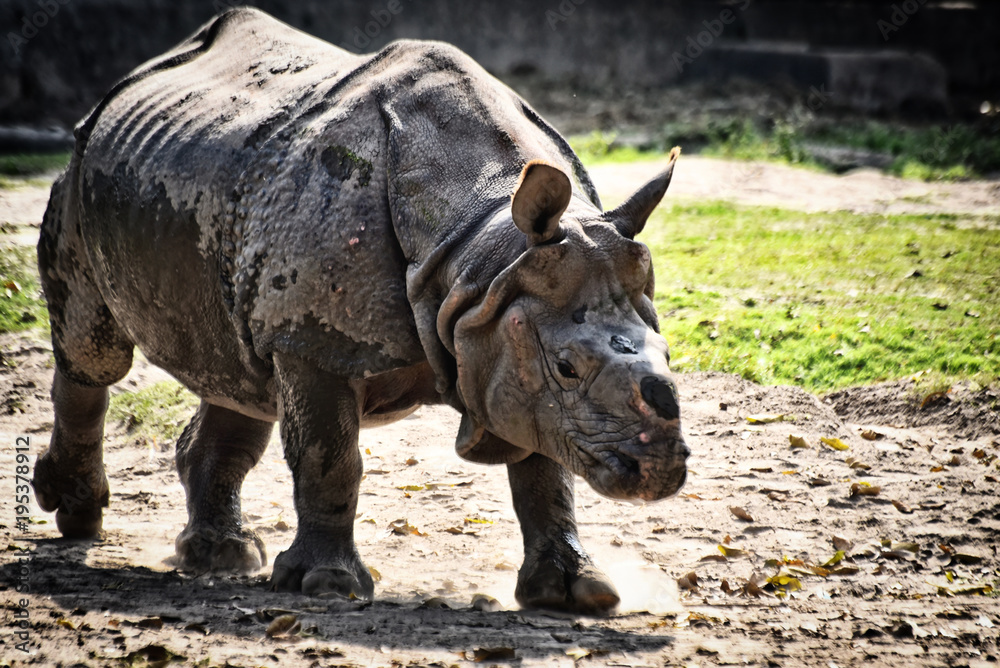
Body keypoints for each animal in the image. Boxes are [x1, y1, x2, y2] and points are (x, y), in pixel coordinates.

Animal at [33, 7, 687, 615]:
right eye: (568, 368)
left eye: (668, 353)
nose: (661, 470)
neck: (481, 248)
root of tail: (130, 82)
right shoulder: (314, 340)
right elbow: (331, 457)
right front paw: (328, 586)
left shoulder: (505, 325)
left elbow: (544, 466)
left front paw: (576, 594)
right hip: (81, 170)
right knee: (95, 352)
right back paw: (79, 516)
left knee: (239, 378)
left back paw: (220, 557)